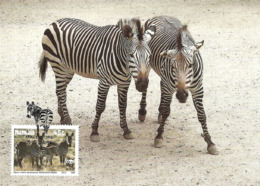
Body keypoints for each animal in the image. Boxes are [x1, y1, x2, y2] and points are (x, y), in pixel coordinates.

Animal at [140, 16, 217, 155]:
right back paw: (142, 112)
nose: (181, 95)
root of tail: (160, 15)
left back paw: (159, 114)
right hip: (146, 64)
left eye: (191, 65)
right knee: (145, 86)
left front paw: (210, 142)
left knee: (161, 85)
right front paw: (159, 136)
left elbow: (202, 115)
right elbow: (166, 111)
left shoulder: (198, 88)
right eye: (172, 66)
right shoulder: (169, 86)